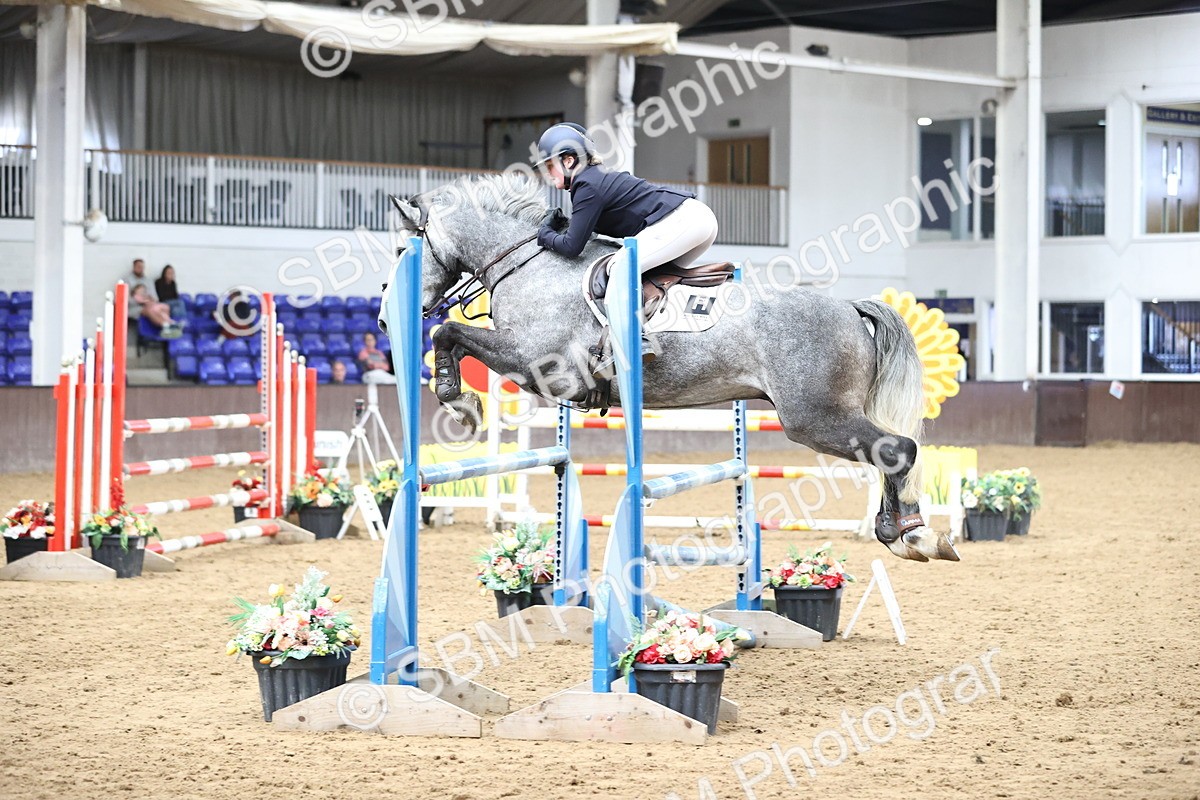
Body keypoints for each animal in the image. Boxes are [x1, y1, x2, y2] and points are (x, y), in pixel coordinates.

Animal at [385, 173, 958, 562]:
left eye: (397, 249)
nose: (386, 313)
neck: (530, 263)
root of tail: (850, 308)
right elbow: (451, 335)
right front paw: (462, 401)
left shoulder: (537, 365)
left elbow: (447, 333)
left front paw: (460, 404)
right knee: (891, 453)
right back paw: (904, 531)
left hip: (813, 417)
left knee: (897, 450)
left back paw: (910, 534)